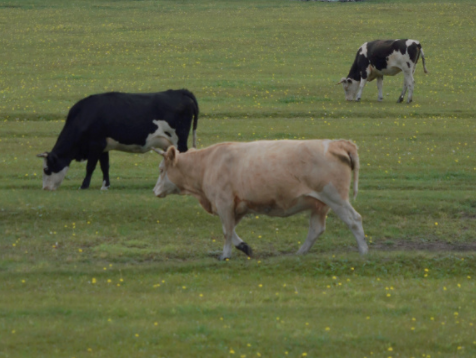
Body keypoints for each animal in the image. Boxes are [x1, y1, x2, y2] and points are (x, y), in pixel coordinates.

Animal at [37, 89, 199, 190]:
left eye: (46, 169)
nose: (45, 188)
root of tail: (180, 91)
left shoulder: (95, 145)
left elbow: (90, 167)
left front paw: (83, 185)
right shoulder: (103, 147)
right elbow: (105, 166)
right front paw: (105, 186)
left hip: (179, 140)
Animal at [152, 138, 368, 258]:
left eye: (161, 170)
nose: (155, 191)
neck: (208, 163)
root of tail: (337, 143)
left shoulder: (224, 202)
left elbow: (226, 231)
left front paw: (225, 255)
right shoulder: (236, 205)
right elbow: (231, 229)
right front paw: (243, 247)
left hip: (335, 197)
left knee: (354, 220)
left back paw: (364, 251)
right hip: (320, 204)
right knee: (316, 229)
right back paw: (300, 253)